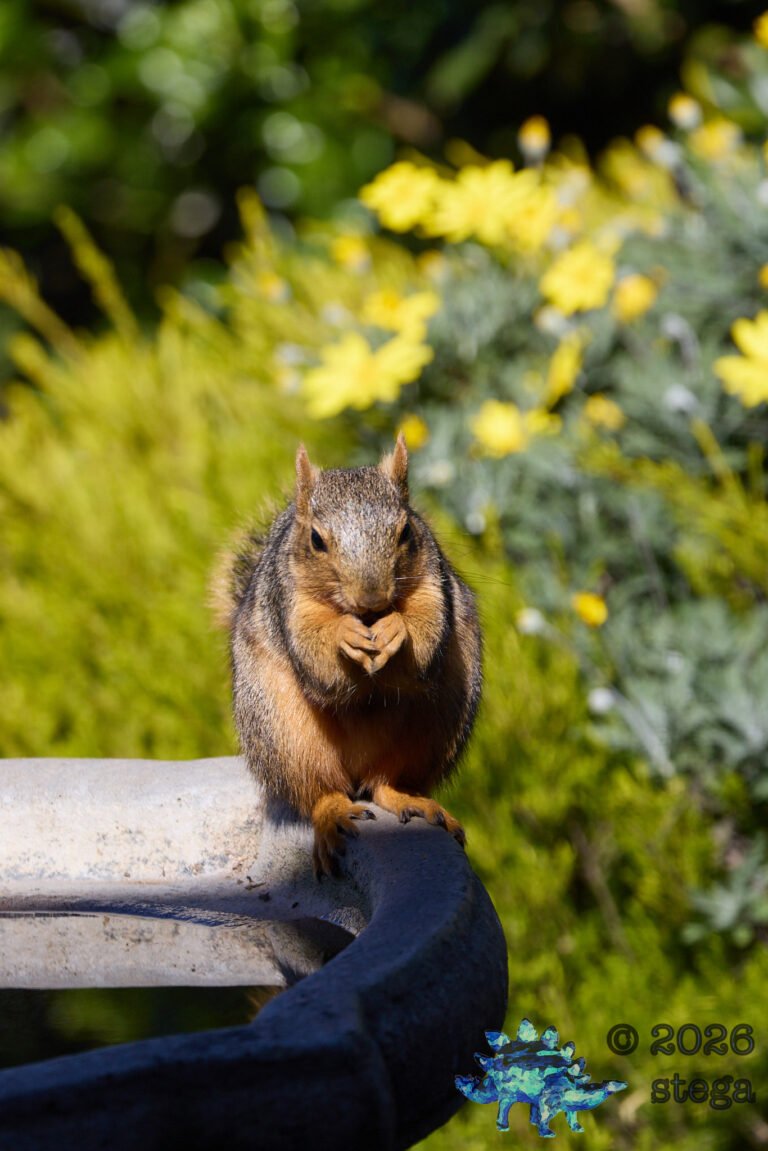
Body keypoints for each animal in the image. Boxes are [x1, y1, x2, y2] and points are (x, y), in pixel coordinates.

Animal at [216, 434, 482, 876]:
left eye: (406, 531)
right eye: (316, 540)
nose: (372, 599)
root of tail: (356, 771)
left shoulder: (434, 584)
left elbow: (426, 633)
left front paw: (396, 628)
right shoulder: (290, 603)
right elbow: (317, 657)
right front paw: (345, 634)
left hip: (438, 721)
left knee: (384, 783)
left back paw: (410, 800)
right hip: (284, 734)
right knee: (318, 792)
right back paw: (332, 814)